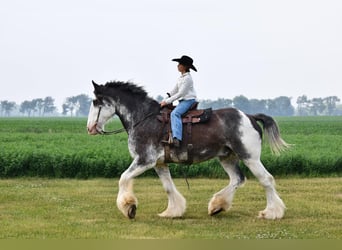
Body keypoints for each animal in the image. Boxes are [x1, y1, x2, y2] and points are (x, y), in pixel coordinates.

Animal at [86, 80, 288, 219]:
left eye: (96, 102)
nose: (90, 128)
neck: (144, 118)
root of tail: (250, 116)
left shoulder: (144, 160)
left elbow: (123, 178)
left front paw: (129, 208)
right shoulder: (159, 164)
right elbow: (168, 187)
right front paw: (172, 211)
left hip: (250, 157)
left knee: (266, 179)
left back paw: (271, 212)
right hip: (227, 157)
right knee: (237, 179)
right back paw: (217, 206)